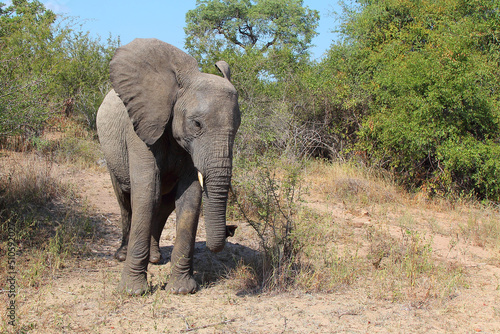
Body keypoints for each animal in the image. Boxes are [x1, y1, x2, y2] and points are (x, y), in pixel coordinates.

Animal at [96, 38, 241, 294]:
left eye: (238, 126)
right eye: (197, 124)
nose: (231, 229)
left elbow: (189, 198)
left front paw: (182, 290)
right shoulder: (140, 129)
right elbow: (146, 194)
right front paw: (133, 292)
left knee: (163, 206)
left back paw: (155, 258)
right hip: (111, 153)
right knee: (125, 200)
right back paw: (122, 255)